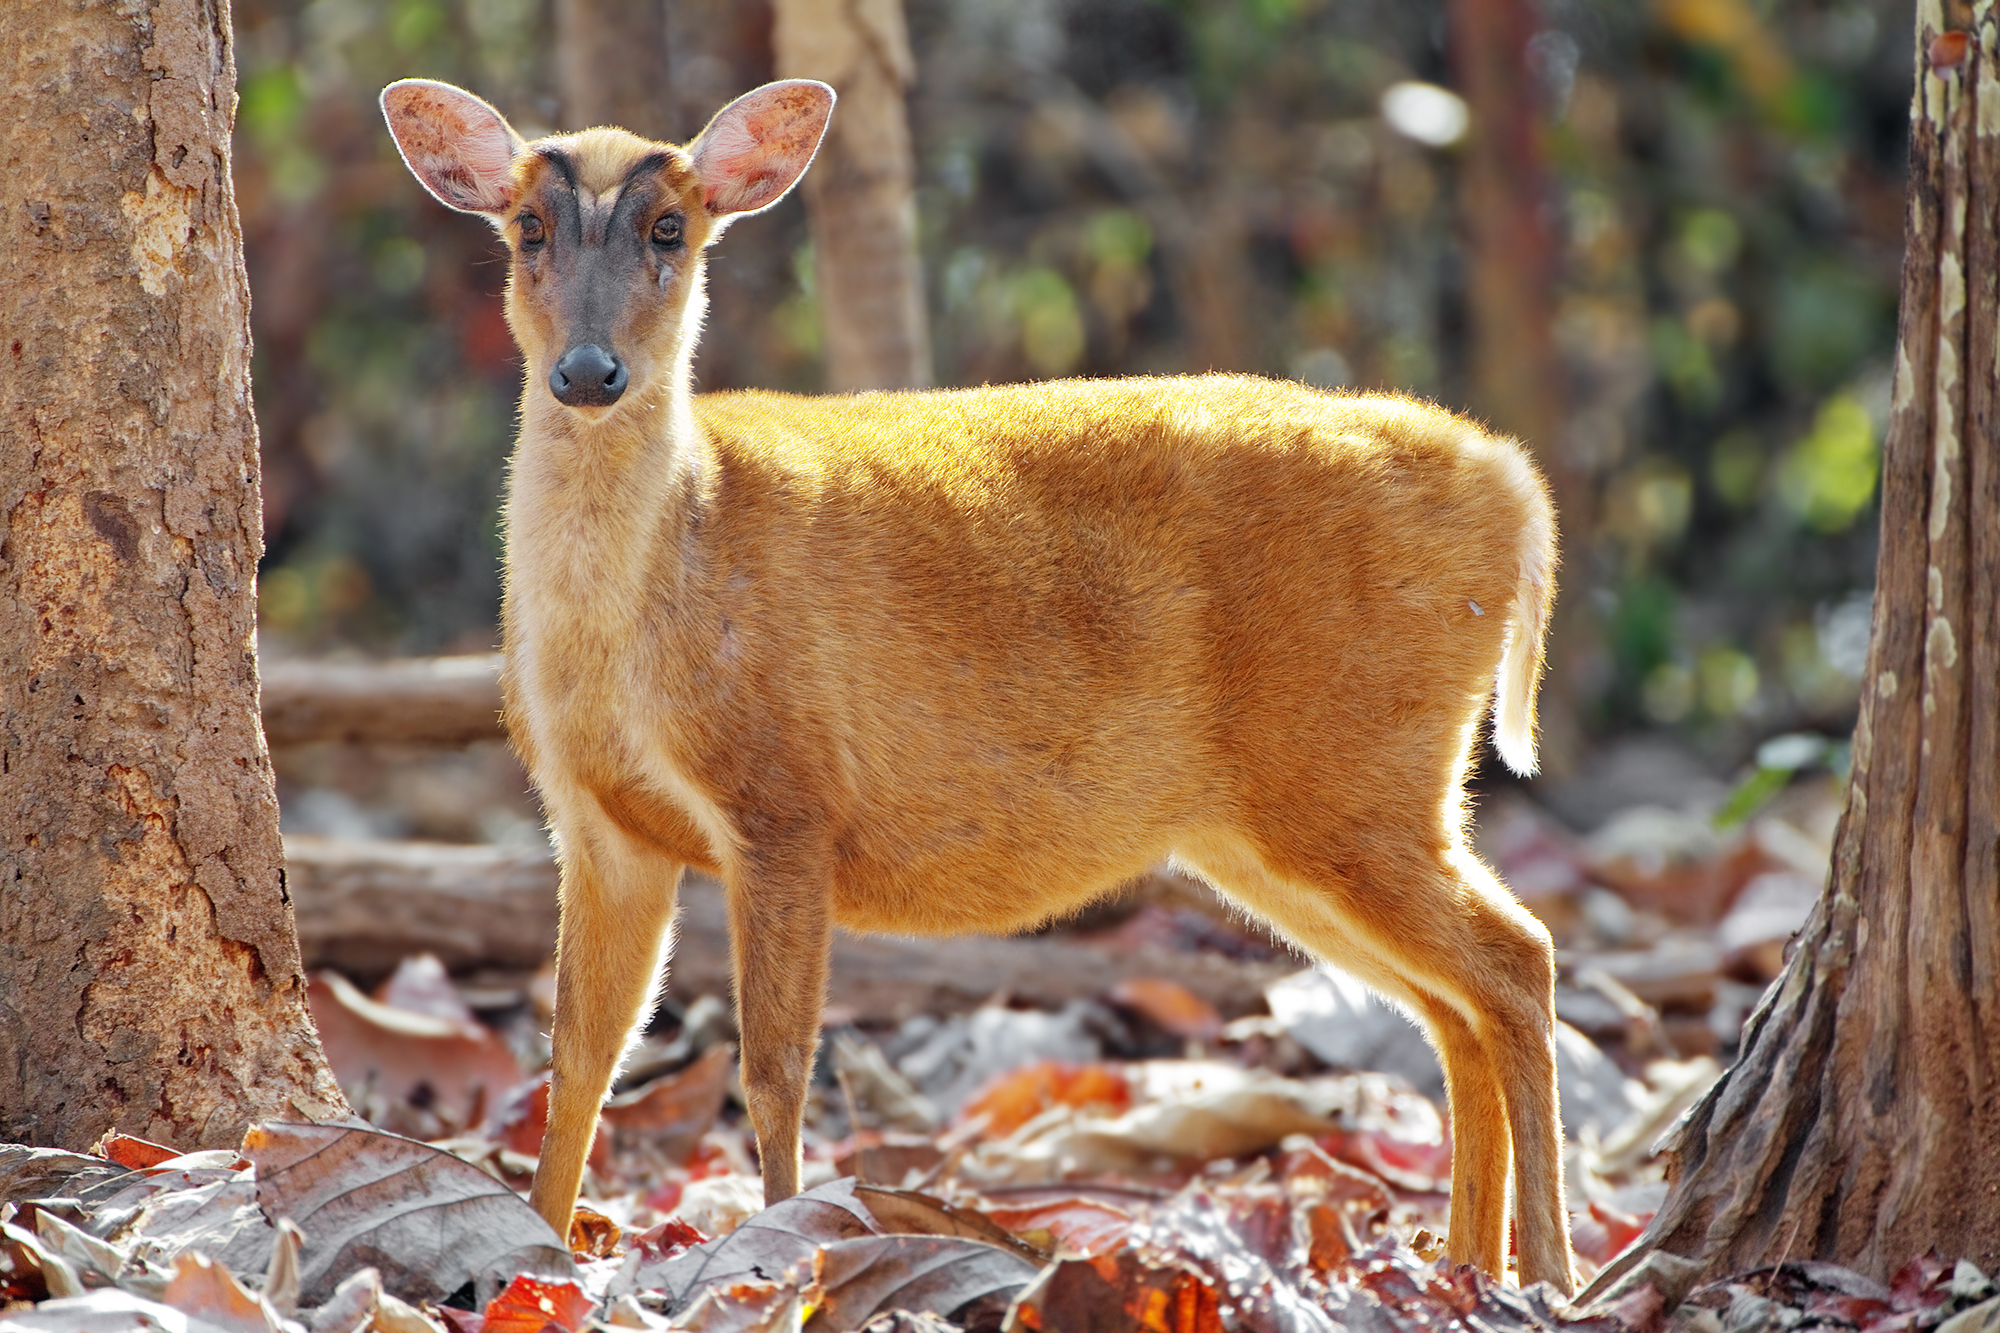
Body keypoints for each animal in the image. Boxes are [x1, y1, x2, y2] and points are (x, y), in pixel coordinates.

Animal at [382, 75, 1576, 1288]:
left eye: (672, 227)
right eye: (527, 228)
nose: (587, 372)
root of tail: (1516, 487)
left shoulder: (786, 794)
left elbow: (774, 1061)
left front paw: (781, 1245)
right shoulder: (598, 820)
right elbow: (581, 1050)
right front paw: (539, 1243)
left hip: (1351, 770)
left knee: (1515, 960)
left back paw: (1550, 1273)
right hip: (1284, 819)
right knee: (1453, 1005)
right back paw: (1467, 1266)